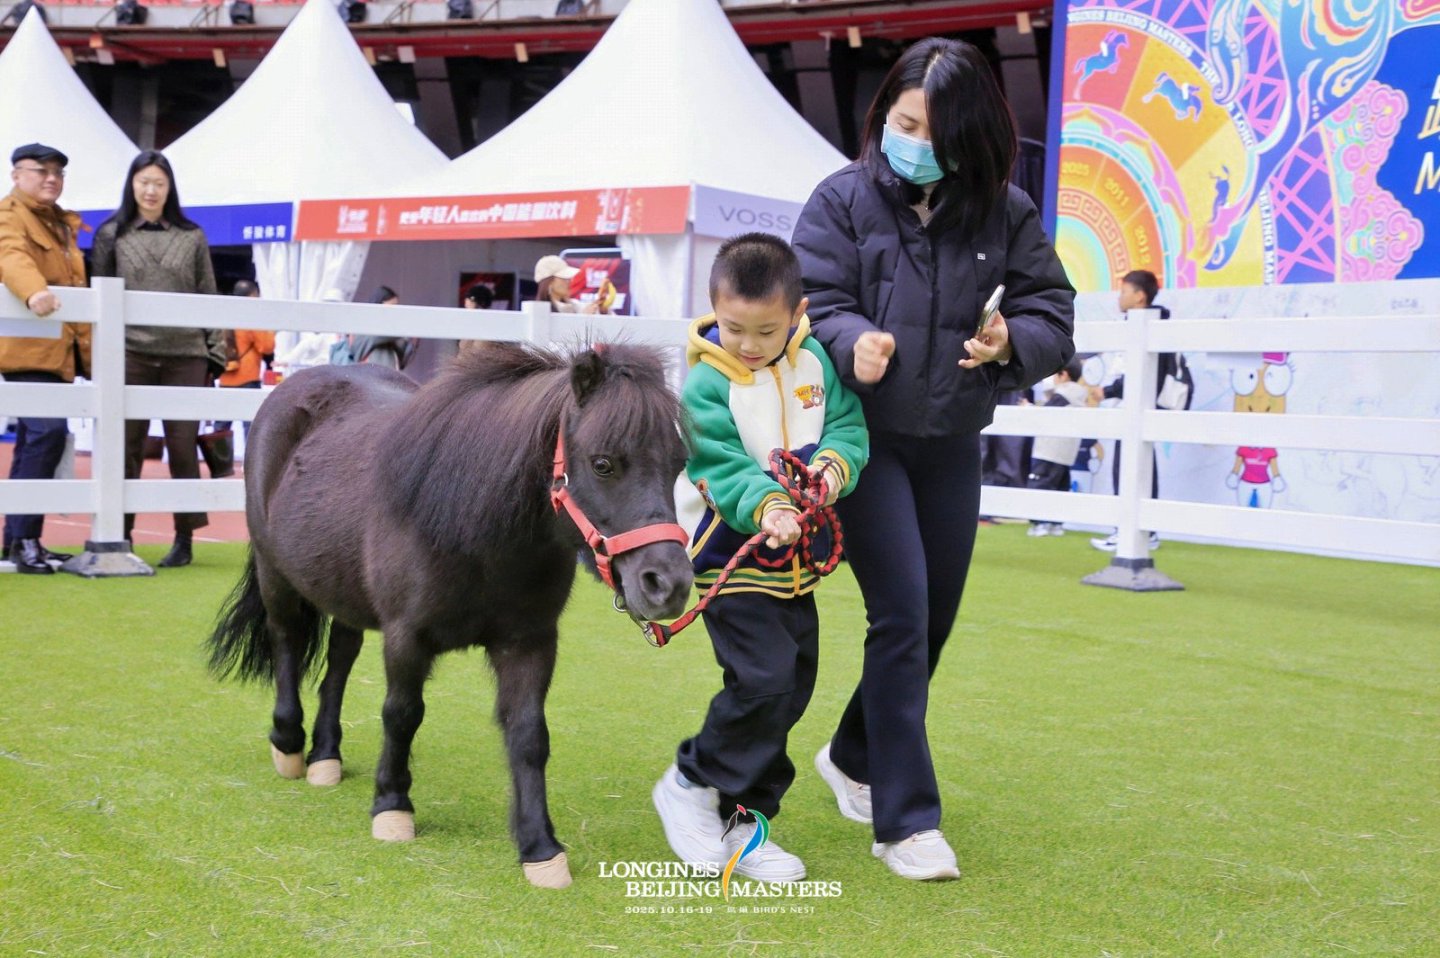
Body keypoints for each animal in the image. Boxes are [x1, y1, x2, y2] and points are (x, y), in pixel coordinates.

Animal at [206, 342, 693, 889]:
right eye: (603, 463)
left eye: (678, 464)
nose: (667, 584)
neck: (473, 527)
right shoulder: (406, 636)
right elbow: (401, 714)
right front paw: (392, 805)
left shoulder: (530, 642)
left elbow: (529, 734)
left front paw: (539, 847)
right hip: (276, 575)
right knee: (287, 641)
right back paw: (289, 744)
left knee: (340, 659)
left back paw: (325, 755)